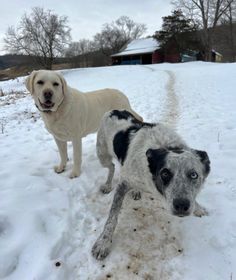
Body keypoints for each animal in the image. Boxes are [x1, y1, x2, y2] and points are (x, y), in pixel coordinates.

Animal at [91, 109, 210, 260]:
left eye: (194, 175)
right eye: (165, 173)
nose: (182, 205)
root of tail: (115, 110)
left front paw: (199, 208)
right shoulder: (123, 183)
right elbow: (112, 219)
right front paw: (103, 243)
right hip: (102, 155)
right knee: (111, 167)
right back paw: (107, 185)